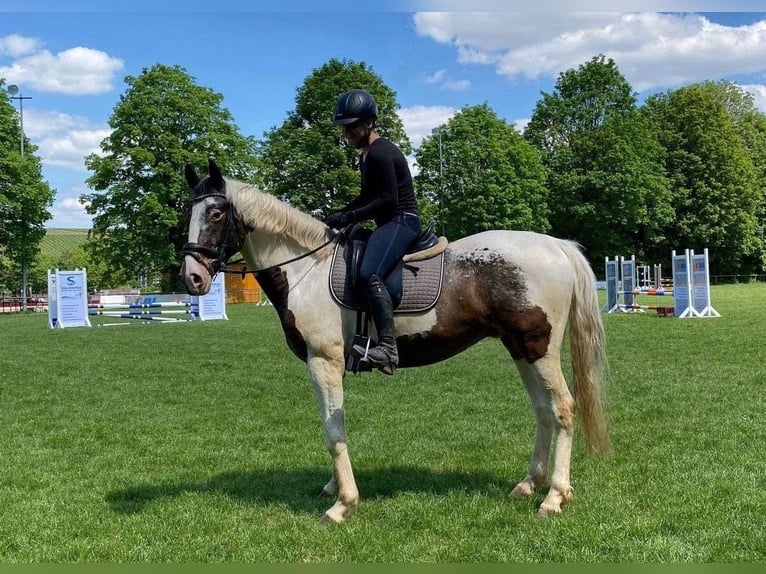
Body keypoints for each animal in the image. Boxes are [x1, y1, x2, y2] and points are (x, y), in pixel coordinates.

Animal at [182, 159, 612, 528]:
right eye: (188, 213)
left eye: (217, 214)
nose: (193, 279)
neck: (307, 268)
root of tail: (557, 246)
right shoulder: (325, 364)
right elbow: (332, 426)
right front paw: (334, 488)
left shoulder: (324, 362)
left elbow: (333, 429)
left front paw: (343, 504)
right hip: (520, 347)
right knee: (542, 410)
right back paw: (528, 484)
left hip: (540, 348)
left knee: (563, 408)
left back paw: (554, 496)